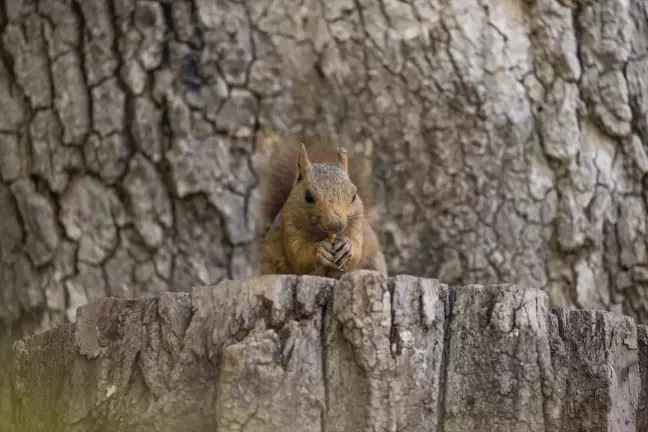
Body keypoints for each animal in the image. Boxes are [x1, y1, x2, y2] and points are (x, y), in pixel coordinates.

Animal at [254, 133, 388, 278]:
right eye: (309, 196)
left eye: (354, 195)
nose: (336, 224)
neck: (323, 234)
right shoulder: (289, 227)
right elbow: (299, 256)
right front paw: (320, 250)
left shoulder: (358, 225)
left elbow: (356, 252)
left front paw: (347, 246)